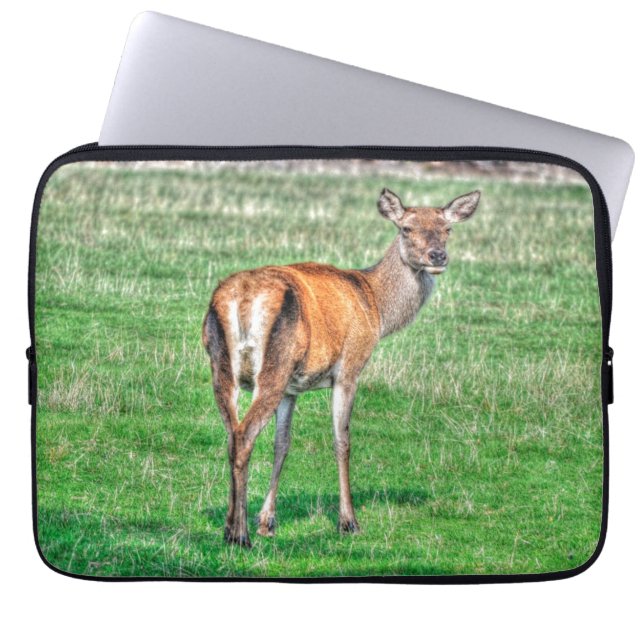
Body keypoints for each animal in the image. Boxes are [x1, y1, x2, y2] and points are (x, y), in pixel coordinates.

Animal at [203, 187, 480, 546]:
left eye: (447, 229)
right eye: (406, 228)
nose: (437, 256)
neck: (376, 308)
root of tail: (242, 298)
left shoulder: (293, 388)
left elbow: (282, 444)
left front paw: (268, 521)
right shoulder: (350, 367)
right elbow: (342, 441)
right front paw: (349, 521)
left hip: (222, 364)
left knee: (231, 434)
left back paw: (229, 526)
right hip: (274, 366)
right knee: (245, 435)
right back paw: (240, 534)